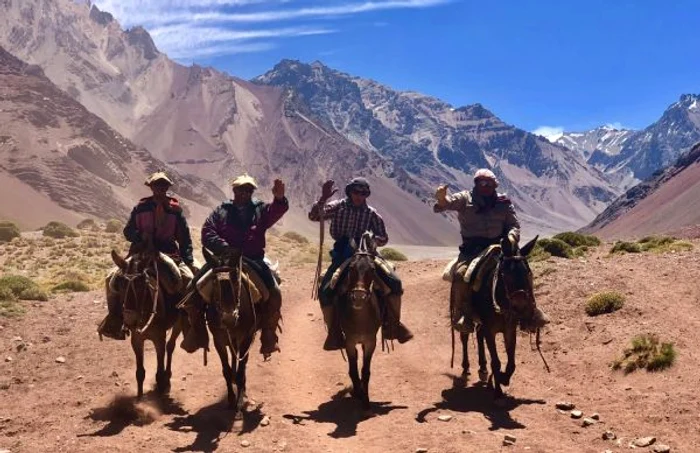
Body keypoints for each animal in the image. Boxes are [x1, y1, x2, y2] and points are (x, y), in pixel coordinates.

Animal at [108, 249, 185, 398]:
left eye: (141, 284)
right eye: (120, 284)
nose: (129, 319)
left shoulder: (159, 339)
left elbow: (159, 372)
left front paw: (161, 391)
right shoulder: (137, 340)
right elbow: (140, 373)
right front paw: (139, 397)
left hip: (178, 323)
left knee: (170, 347)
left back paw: (168, 378)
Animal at [200, 247, 260, 414]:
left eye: (235, 279)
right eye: (214, 281)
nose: (229, 318)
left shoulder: (246, 338)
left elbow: (241, 370)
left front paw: (239, 402)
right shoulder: (218, 340)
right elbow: (226, 370)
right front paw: (231, 399)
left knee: (242, 363)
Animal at [334, 231, 382, 412]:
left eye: (373, 269)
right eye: (351, 268)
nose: (359, 297)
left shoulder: (370, 341)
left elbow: (365, 371)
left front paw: (366, 401)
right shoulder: (349, 342)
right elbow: (353, 370)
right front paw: (359, 392)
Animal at [456, 235, 540, 398]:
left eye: (528, 272)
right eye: (504, 274)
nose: (520, 306)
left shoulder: (509, 329)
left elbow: (511, 363)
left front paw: (503, 378)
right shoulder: (490, 330)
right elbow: (496, 361)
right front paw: (498, 391)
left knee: (479, 335)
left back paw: (483, 369)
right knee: (465, 337)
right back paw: (466, 367)